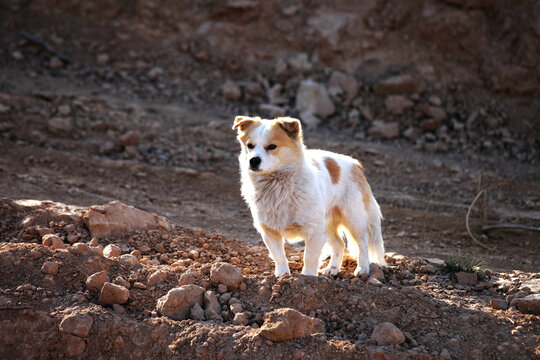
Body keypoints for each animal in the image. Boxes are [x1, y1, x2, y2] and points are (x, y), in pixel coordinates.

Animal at [234, 115, 386, 276]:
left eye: (271, 146)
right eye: (250, 145)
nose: (253, 160)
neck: (278, 187)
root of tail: (356, 164)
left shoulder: (314, 230)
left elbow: (310, 257)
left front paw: (307, 277)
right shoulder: (269, 231)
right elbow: (279, 256)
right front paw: (283, 276)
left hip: (353, 219)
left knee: (362, 243)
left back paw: (362, 269)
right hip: (328, 223)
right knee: (339, 244)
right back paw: (332, 269)